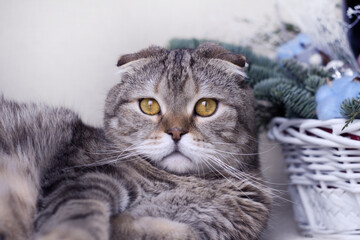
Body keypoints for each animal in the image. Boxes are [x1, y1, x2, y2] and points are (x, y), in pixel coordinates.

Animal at [0, 42, 270, 239]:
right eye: (149, 105)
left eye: (206, 106)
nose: (175, 132)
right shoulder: (81, 173)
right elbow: (80, 212)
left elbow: (179, 232)